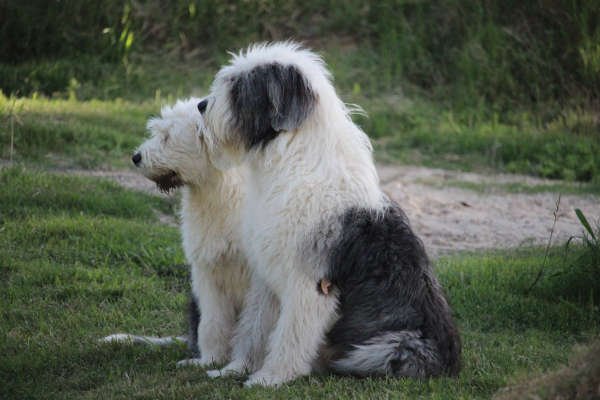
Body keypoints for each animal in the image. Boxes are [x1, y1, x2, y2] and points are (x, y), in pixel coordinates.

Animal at [109, 98, 250, 368]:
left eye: (167, 137)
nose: (136, 157)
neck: (218, 193)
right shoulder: (206, 270)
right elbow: (212, 321)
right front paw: (210, 361)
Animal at [199, 42, 462, 386]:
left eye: (240, 89)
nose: (201, 105)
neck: (289, 162)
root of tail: (453, 362)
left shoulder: (309, 283)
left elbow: (290, 334)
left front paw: (271, 377)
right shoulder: (265, 275)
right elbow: (254, 325)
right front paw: (235, 368)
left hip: (391, 347)